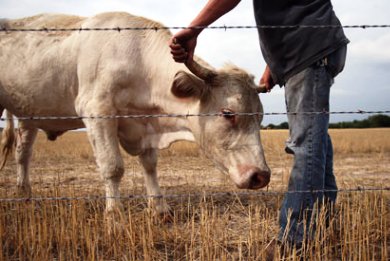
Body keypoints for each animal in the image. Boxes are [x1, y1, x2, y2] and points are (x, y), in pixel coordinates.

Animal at [0, 12, 270, 213]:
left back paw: (25, 193)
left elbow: (150, 166)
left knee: (23, 153)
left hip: (29, 114)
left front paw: (159, 209)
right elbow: (112, 167)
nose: (261, 176)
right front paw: (114, 215)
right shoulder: (97, 112)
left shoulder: (145, 124)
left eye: (259, 117)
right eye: (228, 113)